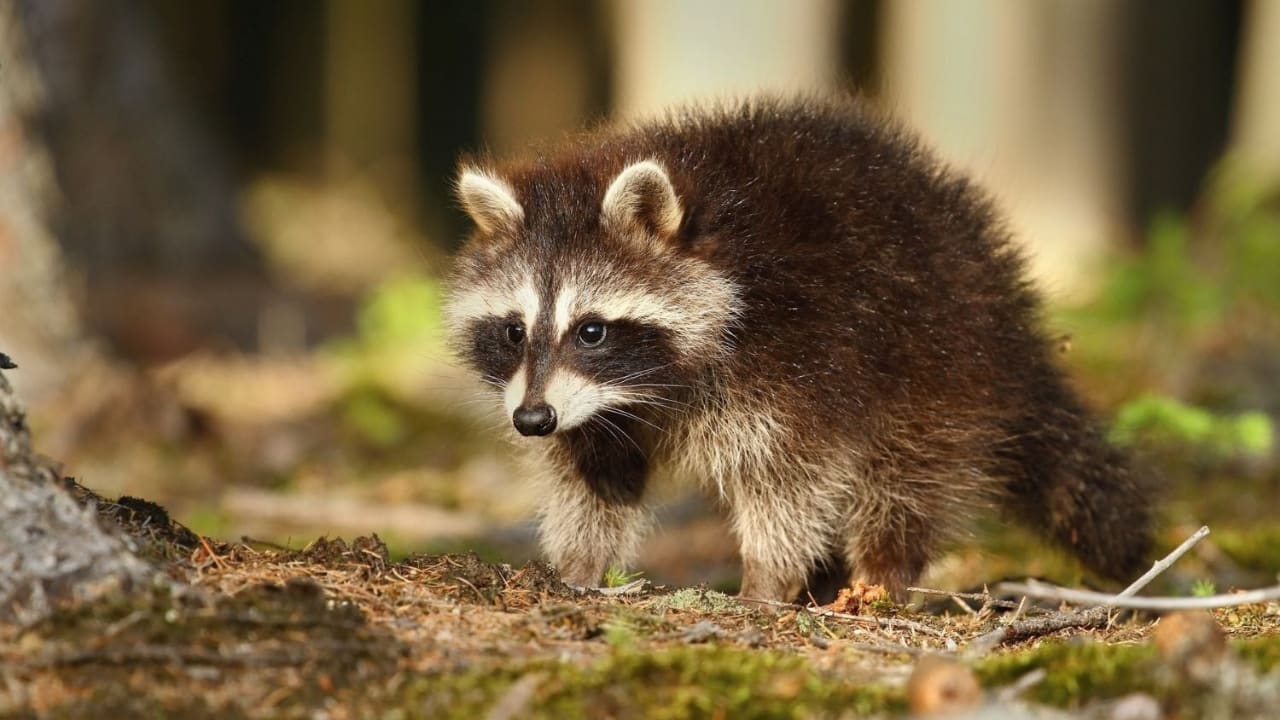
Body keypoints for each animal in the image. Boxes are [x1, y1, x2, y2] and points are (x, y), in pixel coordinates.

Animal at [444, 96, 1153, 602]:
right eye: (514, 331)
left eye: (591, 330)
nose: (531, 421)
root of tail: (1003, 299)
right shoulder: (590, 407)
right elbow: (593, 476)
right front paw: (578, 568)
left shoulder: (797, 355)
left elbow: (788, 478)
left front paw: (766, 579)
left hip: (935, 356)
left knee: (906, 475)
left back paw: (882, 573)